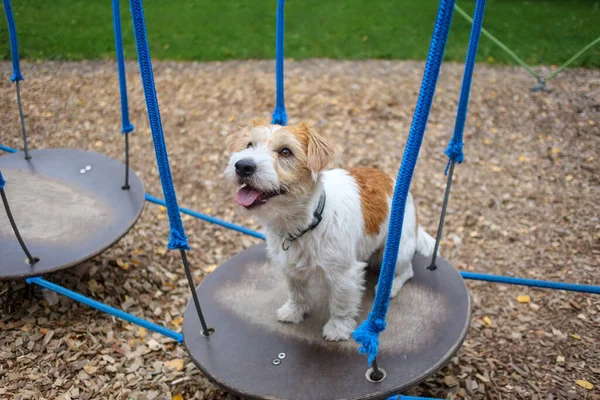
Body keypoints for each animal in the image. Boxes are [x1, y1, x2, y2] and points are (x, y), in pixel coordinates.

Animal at [225, 119, 436, 340]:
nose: (242, 166)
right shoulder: (290, 268)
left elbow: (341, 304)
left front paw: (338, 328)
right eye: (249, 145)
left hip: (398, 250)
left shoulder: (345, 274)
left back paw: (390, 287)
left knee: (407, 271)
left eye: (285, 151)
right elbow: (297, 293)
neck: (305, 222)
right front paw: (294, 311)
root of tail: (392, 181)